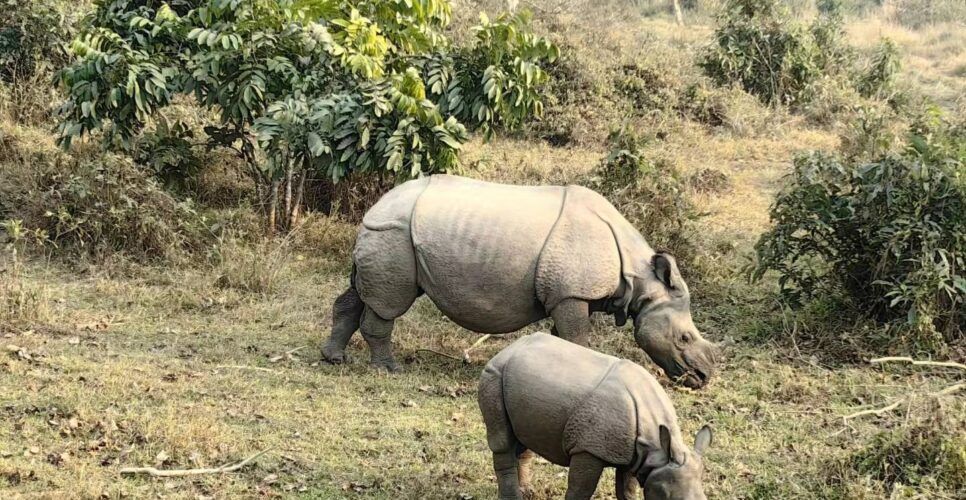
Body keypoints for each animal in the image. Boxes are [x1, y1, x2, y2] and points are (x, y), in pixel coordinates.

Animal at [322, 174, 717, 388]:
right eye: (684, 338)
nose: (703, 377)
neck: (639, 276)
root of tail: (375, 207)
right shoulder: (571, 294)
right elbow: (578, 337)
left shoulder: (571, 295)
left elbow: (566, 337)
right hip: (395, 234)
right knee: (388, 303)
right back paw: (388, 369)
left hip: (388, 233)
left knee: (360, 294)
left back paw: (334, 359)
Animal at [479, 333, 712, 500]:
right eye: (667, 496)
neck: (656, 449)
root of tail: (507, 349)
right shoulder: (589, 448)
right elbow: (580, 490)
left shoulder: (634, 455)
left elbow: (626, 491)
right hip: (494, 375)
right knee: (503, 441)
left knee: (523, 439)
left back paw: (527, 492)